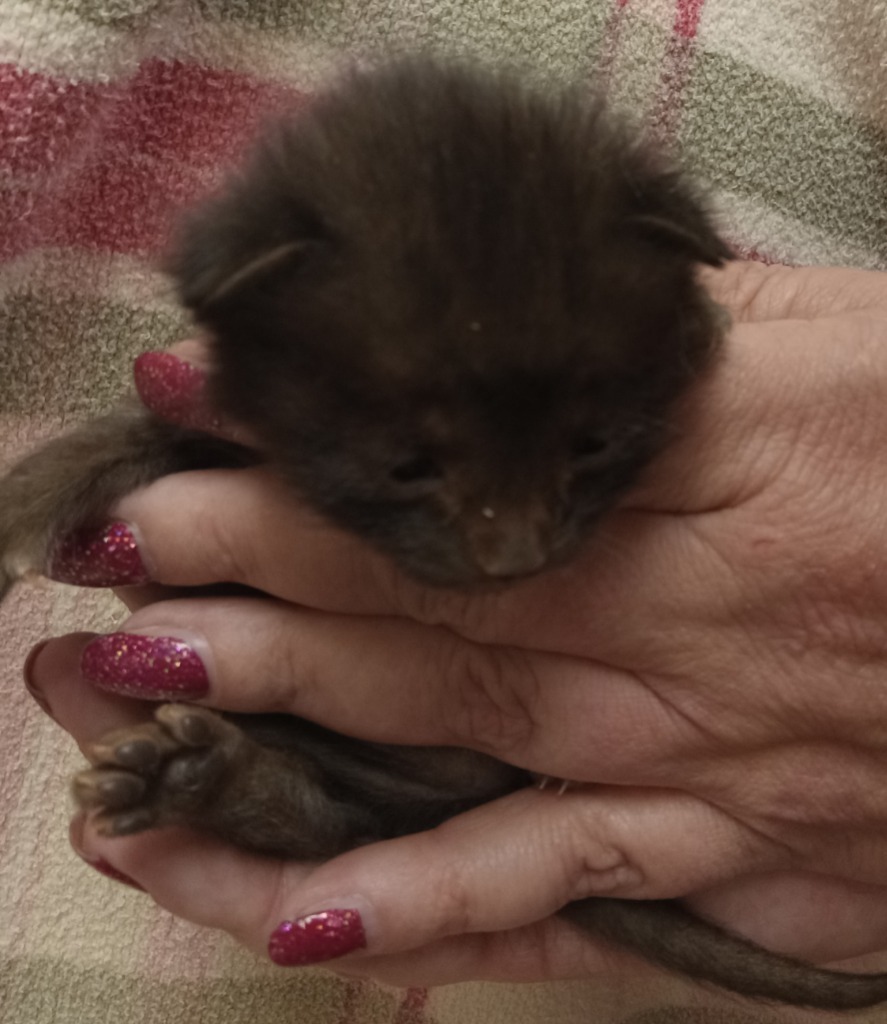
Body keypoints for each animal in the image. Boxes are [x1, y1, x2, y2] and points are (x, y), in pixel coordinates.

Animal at [3, 59, 880, 1011]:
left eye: (591, 444)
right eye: (406, 466)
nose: (517, 558)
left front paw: (704, 330)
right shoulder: (206, 426)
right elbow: (114, 438)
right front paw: (20, 507)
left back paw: (206, 782)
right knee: (342, 823)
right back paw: (200, 783)